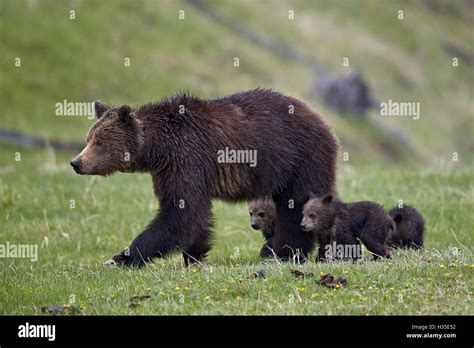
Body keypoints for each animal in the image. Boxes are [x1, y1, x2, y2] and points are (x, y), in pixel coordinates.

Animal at [69, 89, 336, 266]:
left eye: (99, 142)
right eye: (88, 138)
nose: (76, 162)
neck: (158, 149)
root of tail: (322, 121)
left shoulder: (188, 156)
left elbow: (180, 213)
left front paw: (121, 257)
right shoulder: (167, 170)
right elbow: (192, 215)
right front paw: (195, 255)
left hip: (300, 158)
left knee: (296, 206)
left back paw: (287, 252)